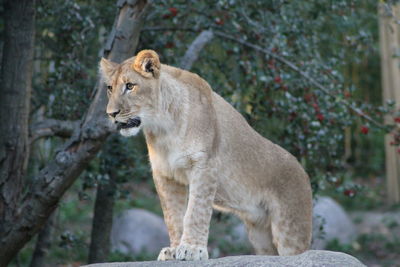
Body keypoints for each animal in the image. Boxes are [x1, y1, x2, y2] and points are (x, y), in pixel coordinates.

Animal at [100, 49, 312, 262]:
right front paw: (173, 250)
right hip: (260, 234)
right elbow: (172, 215)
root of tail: (303, 171)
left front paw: (192, 249)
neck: (163, 126)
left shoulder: (204, 166)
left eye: (130, 86)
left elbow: (195, 211)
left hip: (289, 230)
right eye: (110, 88)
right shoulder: (165, 174)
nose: (111, 113)